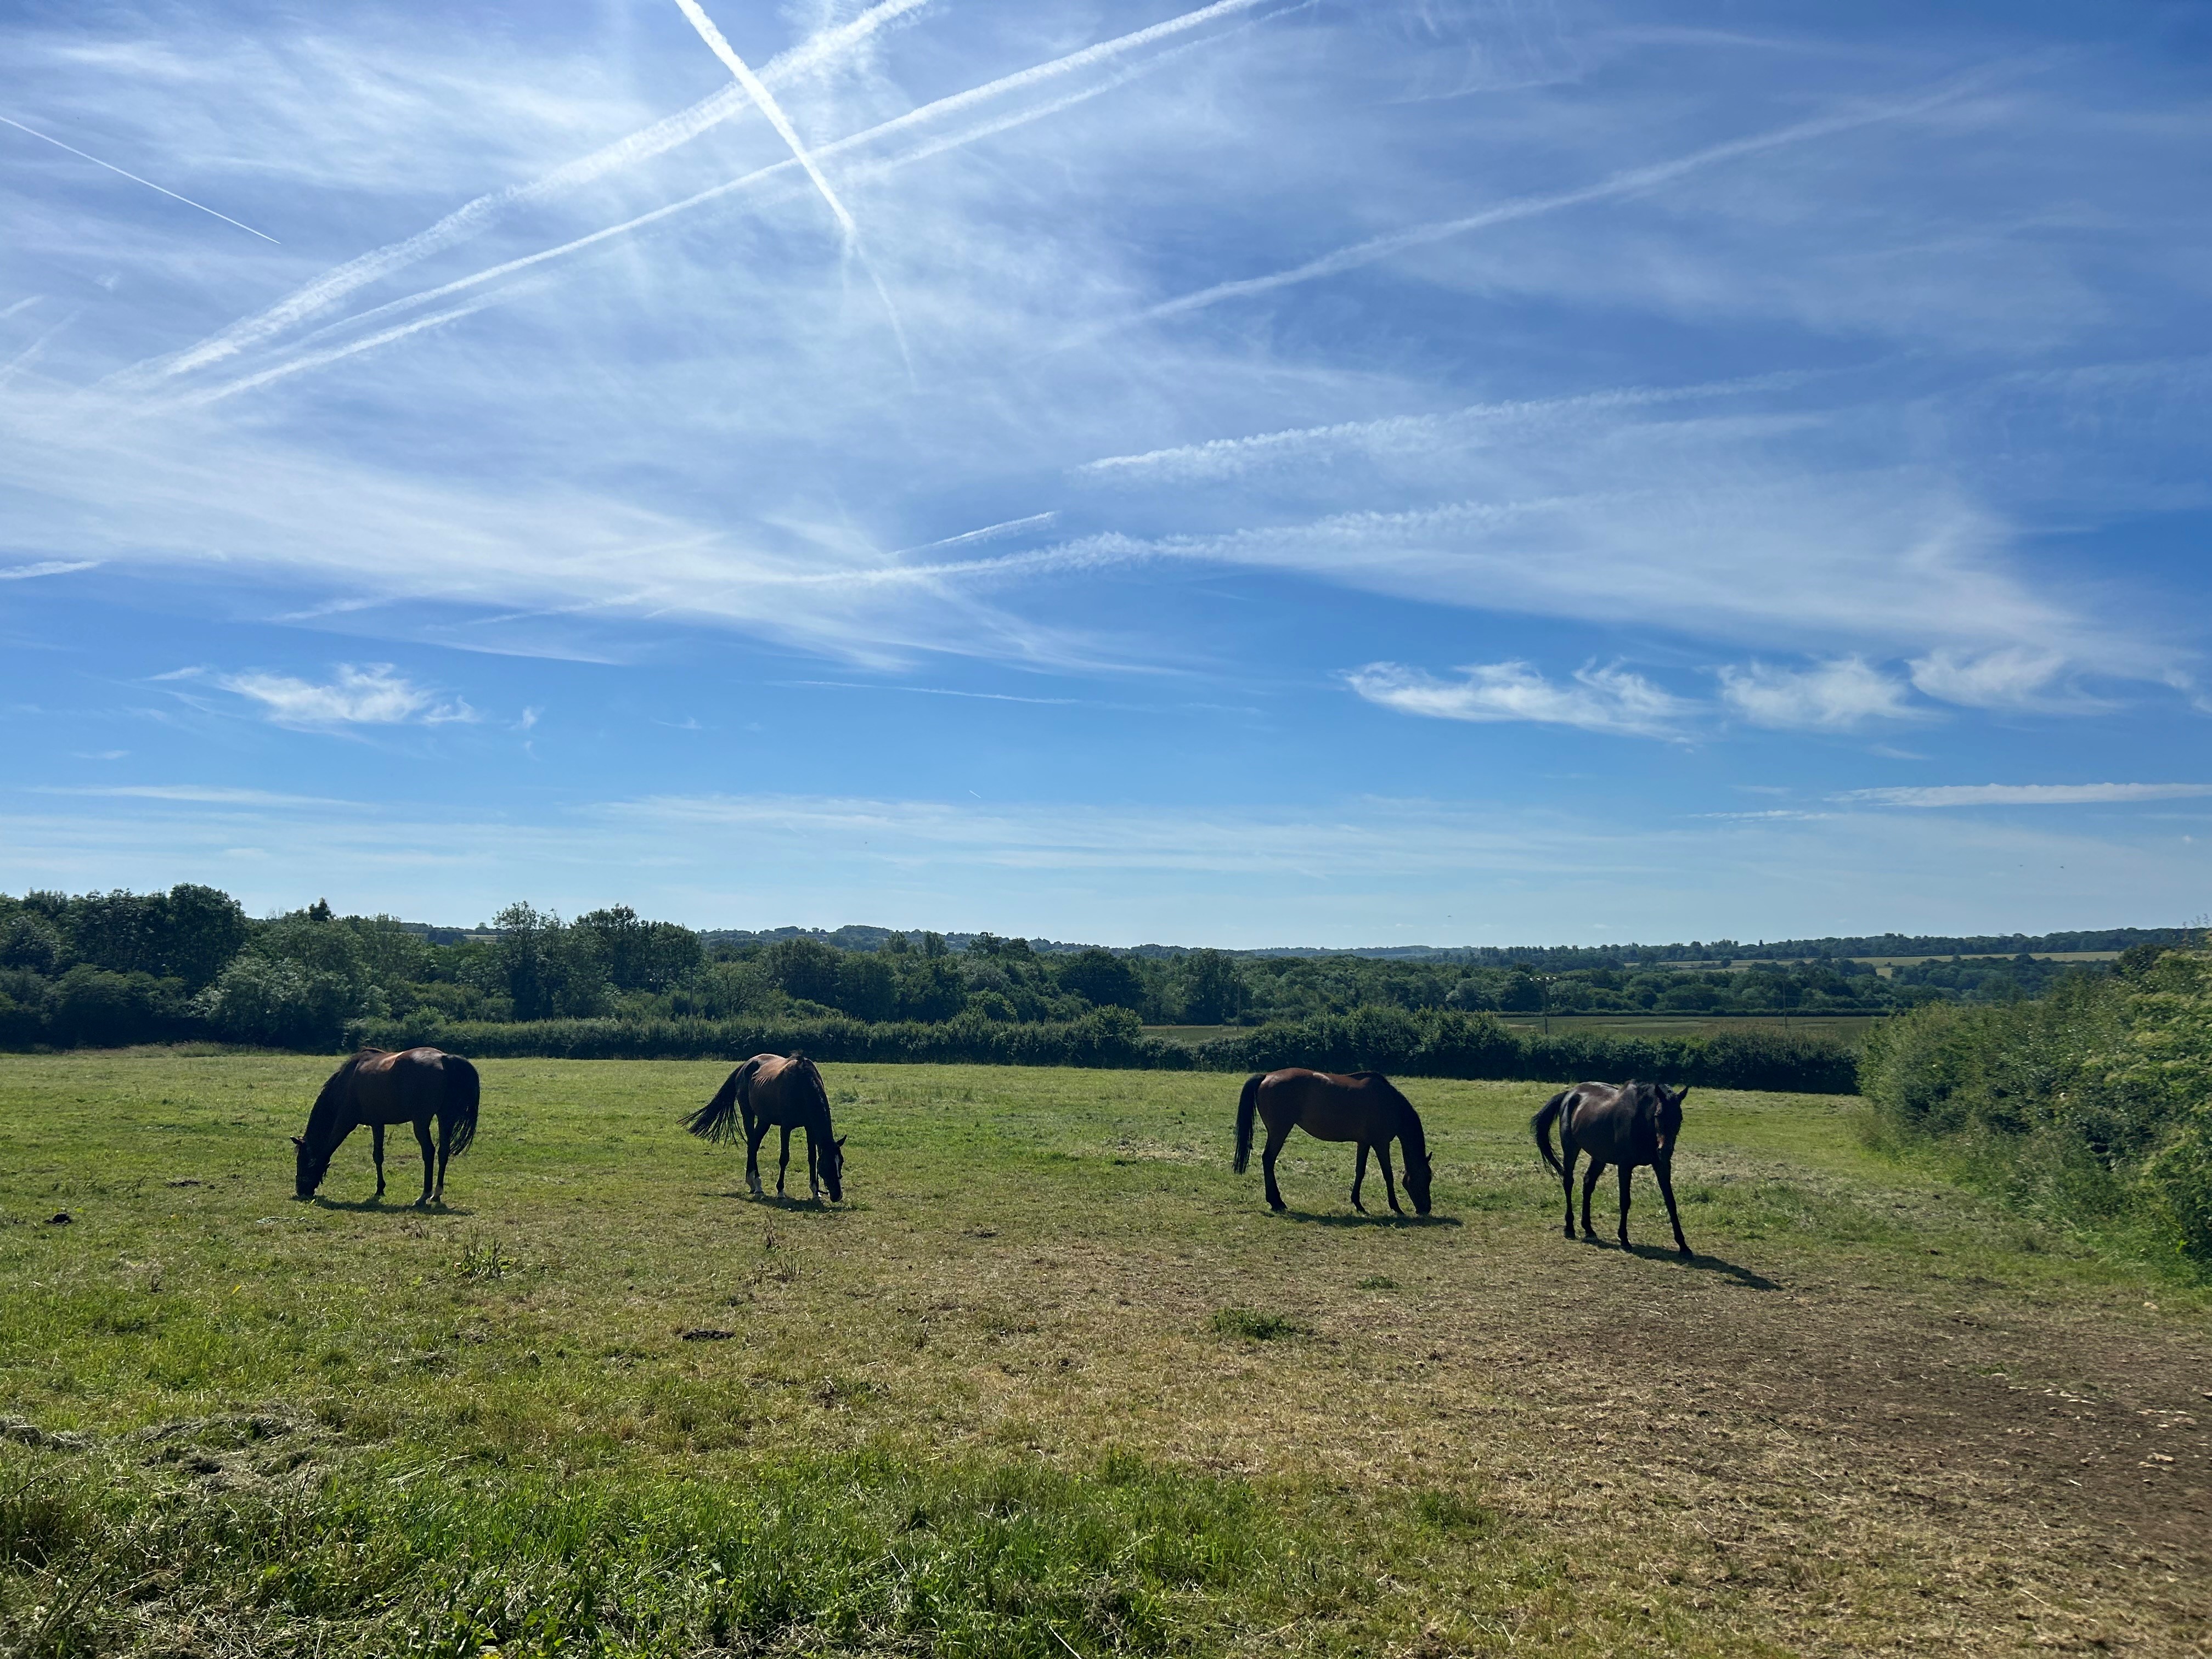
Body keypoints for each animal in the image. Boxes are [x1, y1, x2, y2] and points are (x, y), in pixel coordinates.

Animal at [294, 1053, 479, 1212]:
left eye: (301, 1161)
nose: (301, 1191)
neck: (347, 1082)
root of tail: (444, 1058)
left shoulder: (346, 1122)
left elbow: (333, 1147)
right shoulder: (378, 1124)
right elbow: (378, 1156)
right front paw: (380, 1189)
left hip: (421, 1121)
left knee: (429, 1152)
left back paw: (424, 1195)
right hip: (445, 1117)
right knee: (443, 1152)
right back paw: (437, 1194)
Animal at [681, 1057, 845, 1203]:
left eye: (841, 1162)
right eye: (827, 1165)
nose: (837, 1195)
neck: (801, 1085)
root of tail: (745, 1065)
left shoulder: (810, 1128)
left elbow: (812, 1158)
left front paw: (815, 1192)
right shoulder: (786, 1127)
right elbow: (784, 1158)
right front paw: (780, 1192)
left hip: (764, 1120)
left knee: (754, 1143)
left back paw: (753, 1184)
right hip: (748, 1114)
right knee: (752, 1144)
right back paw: (757, 1185)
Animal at [1229, 1070, 1433, 1212]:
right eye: (1426, 1178)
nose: (1426, 1209)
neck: (1390, 1103)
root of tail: (1267, 1076)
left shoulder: (1364, 1143)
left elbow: (1360, 1171)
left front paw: (1358, 1204)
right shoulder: (1381, 1144)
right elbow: (1388, 1175)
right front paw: (1396, 1207)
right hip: (1279, 1131)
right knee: (1268, 1159)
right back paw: (1277, 1202)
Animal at [1539, 1084, 1690, 1256]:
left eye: (1679, 1118)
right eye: (1658, 1115)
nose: (1665, 1150)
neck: (1643, 1123)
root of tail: (1570, 1093)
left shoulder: (1662, 1165)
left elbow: (1671, 1202)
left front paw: (1684, 1246)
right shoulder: (1625, 1166)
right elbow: (1625, 1201)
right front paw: (1624, 1240)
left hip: (1599, 1156)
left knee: (1588, 1183)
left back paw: (1589, 1229)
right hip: (1571, 1148)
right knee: (1568, 1182)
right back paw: (1569, 1228)